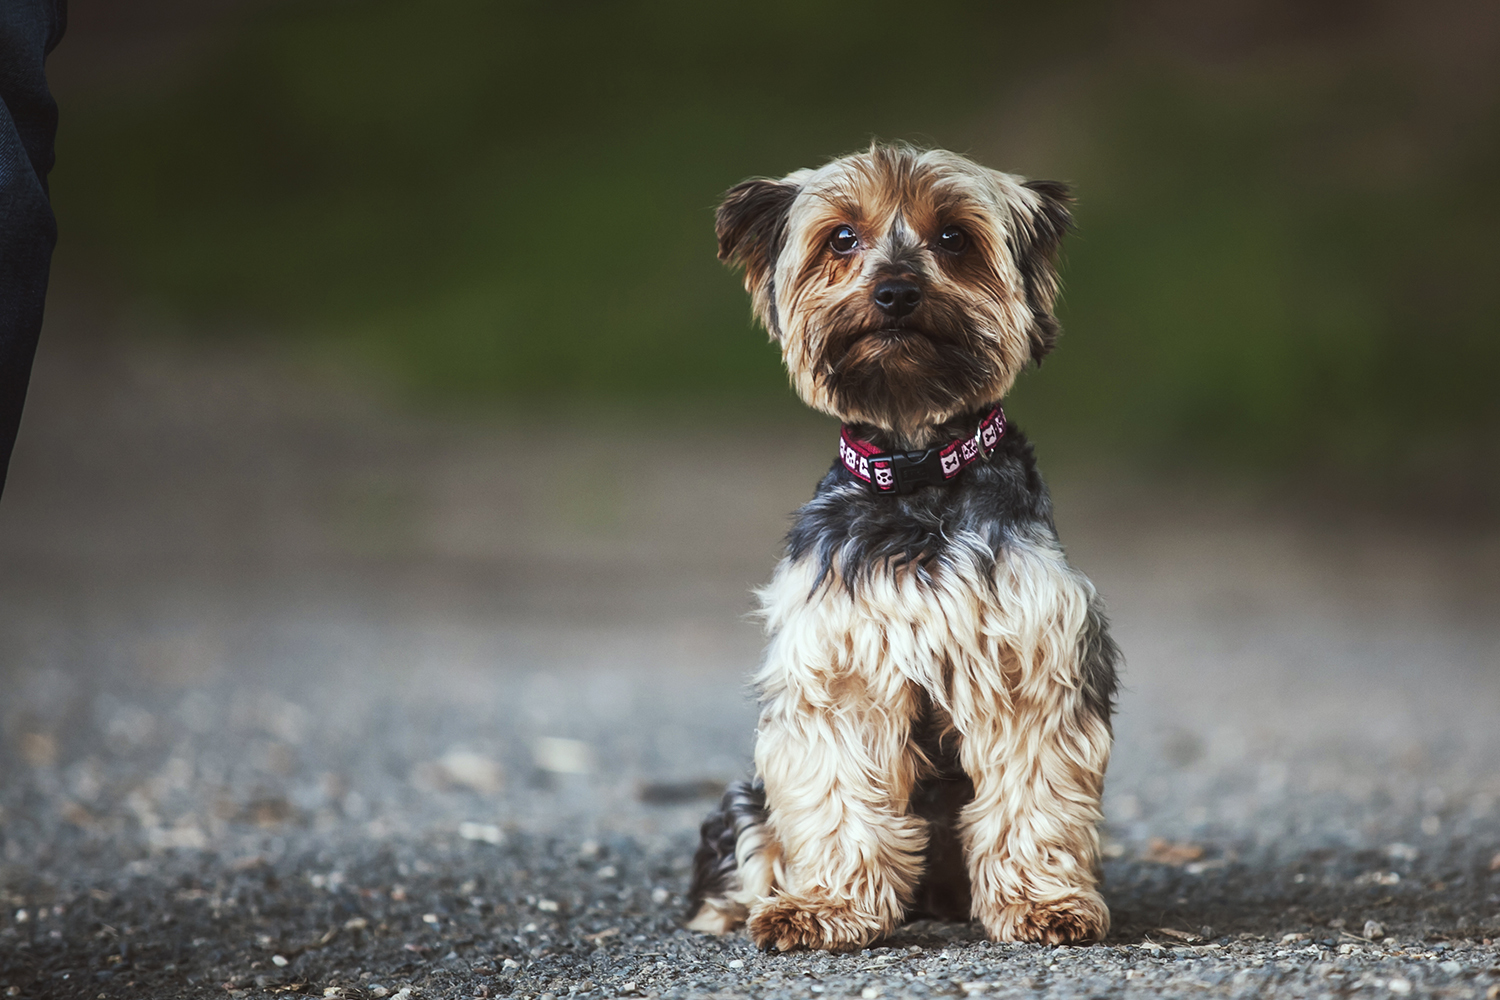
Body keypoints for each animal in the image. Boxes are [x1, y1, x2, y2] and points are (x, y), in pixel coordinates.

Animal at [687, 142, 1122, 953]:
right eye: (841, 239)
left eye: (953, 237)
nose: (894, 292)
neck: (917, 469)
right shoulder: (842, 673)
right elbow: (840, 792)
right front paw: (824, 906)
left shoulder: (1028, 667)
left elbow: (1032, 792)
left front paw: (1044, 902)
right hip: (744, 798)